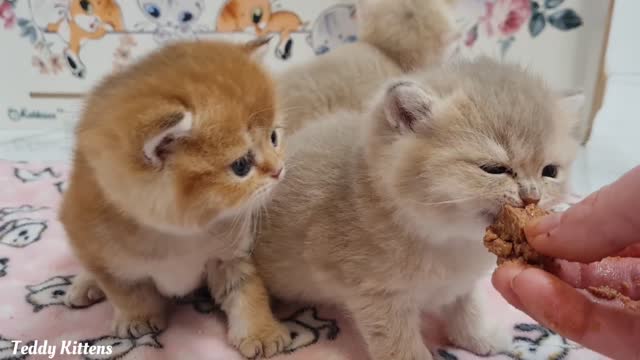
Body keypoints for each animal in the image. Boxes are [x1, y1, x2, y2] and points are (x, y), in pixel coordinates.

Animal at [59, 38, 290, 358]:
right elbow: (127, 292)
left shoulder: (230, 255)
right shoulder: (98, 248)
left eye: (274, 138)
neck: (179, 236)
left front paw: (260, 331)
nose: (279, 170)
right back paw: (83, 285)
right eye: (242, 165)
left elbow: (247, 291)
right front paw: (138, 317)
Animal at [252, 57, 584, 358]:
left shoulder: (461, 283)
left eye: (550, 171)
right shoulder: (378, 297)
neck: (446, 239)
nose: (532, 197)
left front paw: (478, 338)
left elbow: (469, 309)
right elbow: (401, 345)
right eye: (494, 169)